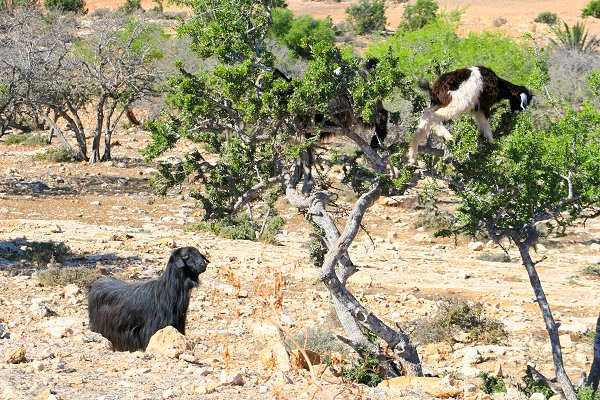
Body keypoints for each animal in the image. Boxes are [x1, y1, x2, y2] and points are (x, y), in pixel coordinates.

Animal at [408, 65, 536, 164]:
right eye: (522, 101)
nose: (520, 111)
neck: (499, 85)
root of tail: (435, 89)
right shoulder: (484, 107)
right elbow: (485, 124)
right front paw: (491, 142)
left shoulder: (478, 109)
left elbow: (480, 125)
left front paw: (480, 138)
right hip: (458, 102)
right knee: (436, 116)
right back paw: (448, 136)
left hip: (437, 104)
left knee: (426, 117)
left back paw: (413, 157)